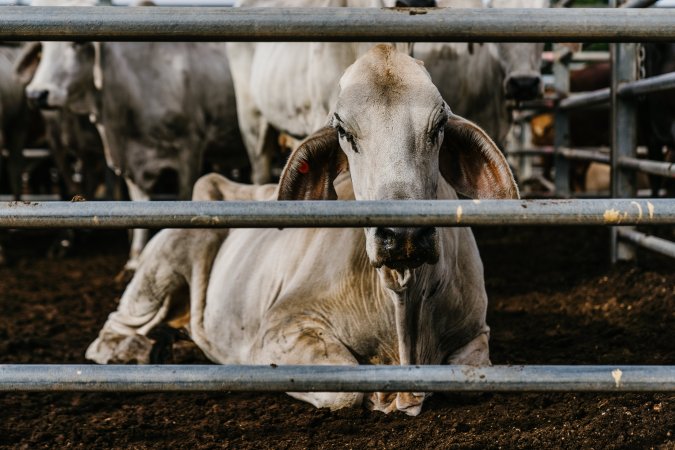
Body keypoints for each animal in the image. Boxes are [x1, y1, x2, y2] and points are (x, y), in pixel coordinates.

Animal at [21, 0, 252, 270]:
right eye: (43, 46)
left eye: (79, 42)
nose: (36, 94)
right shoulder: (130, 162)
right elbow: (139, 202)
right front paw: (136, 257)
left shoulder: (190, 148)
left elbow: (184, 199)